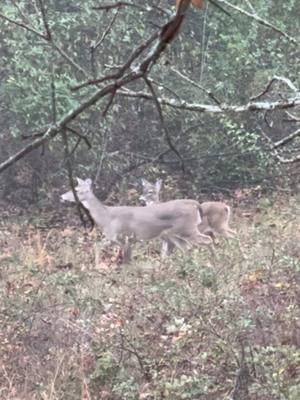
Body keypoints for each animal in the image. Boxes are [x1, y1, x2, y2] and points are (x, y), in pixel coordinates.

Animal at [61, 178, 212, 262]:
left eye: (77, 189)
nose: (61, 196)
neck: (106, 216)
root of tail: (195, 205)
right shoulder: (114, 238)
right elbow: (97, 246)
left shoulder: (122, 236)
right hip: (176, 234)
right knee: (187, 248)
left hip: (187, 229)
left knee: (207, 240)